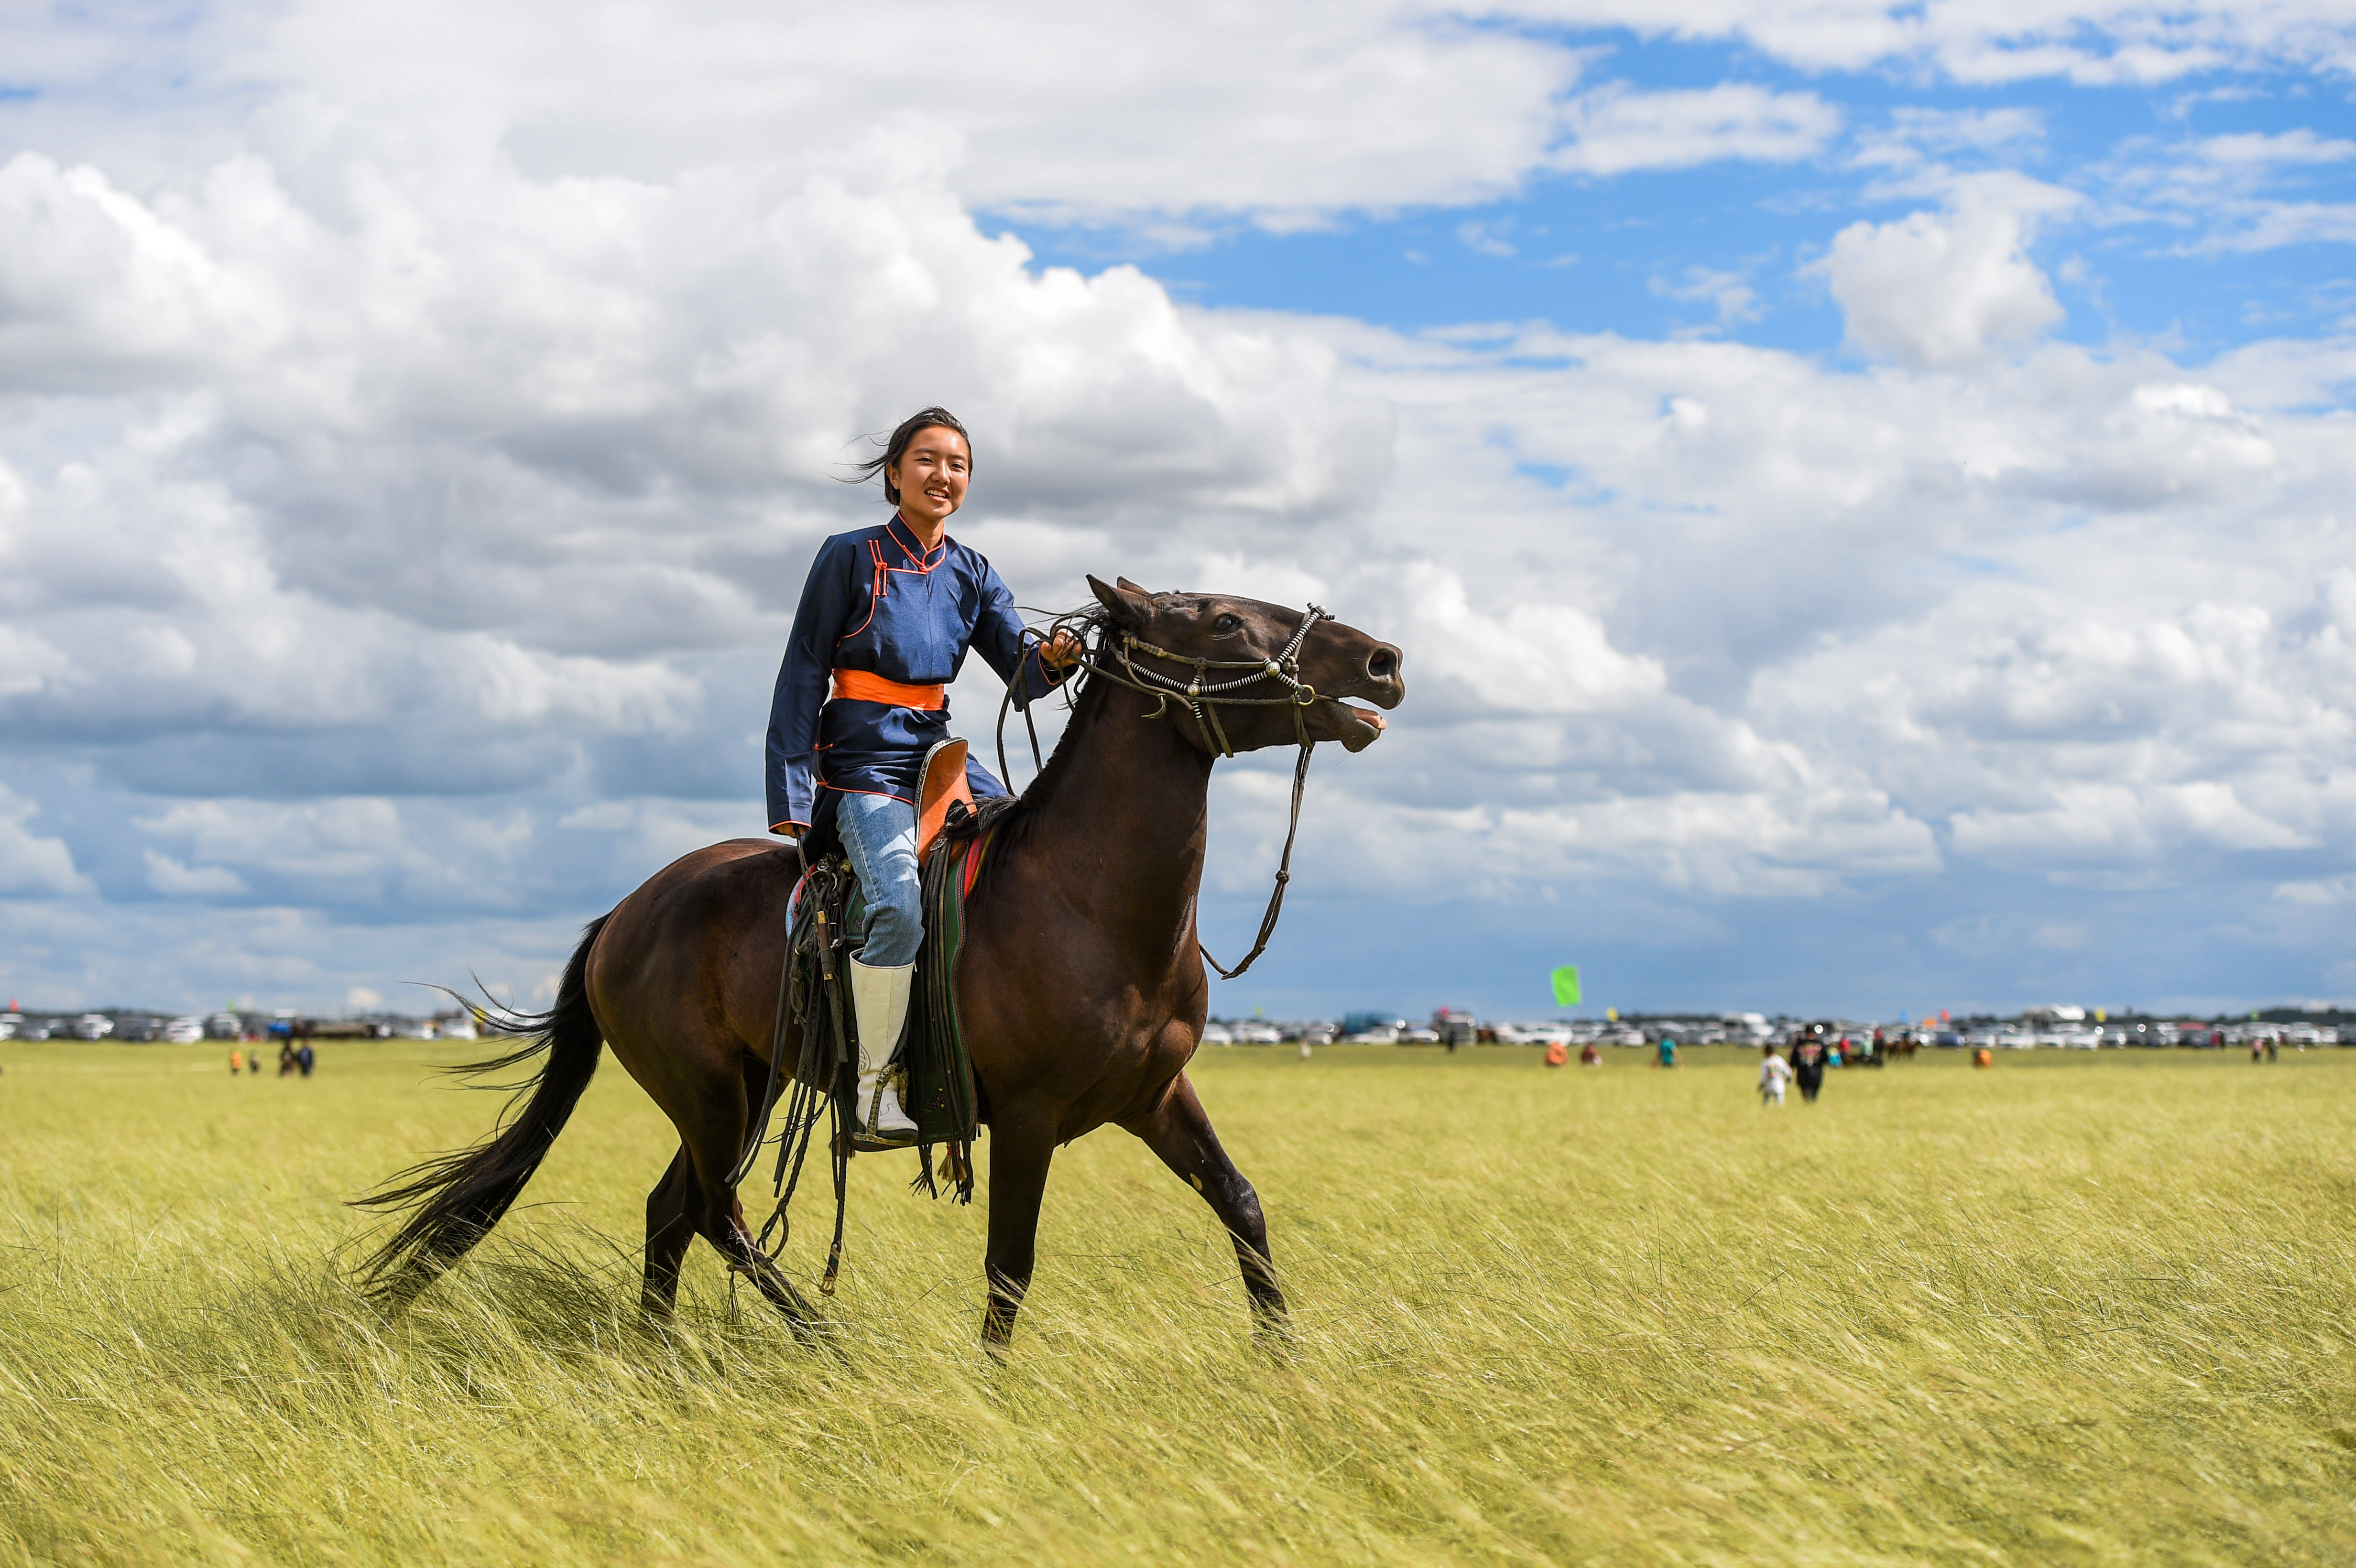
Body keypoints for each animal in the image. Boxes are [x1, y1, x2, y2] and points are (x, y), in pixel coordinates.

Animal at [358, 574, 1404, 1347]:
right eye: (1225, 619)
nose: (1382, 660)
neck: (1085, 902)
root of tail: (622, 914)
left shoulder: (1152, 1095)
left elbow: (1241, 1204)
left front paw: (1281, 1358)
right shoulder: (1028, 1117)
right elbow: (1010, 1264)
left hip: (756, 1082)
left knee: (673, 1210)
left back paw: (657, 1346)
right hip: (707, 1093)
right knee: (716, 1212)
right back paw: (820, 1340)